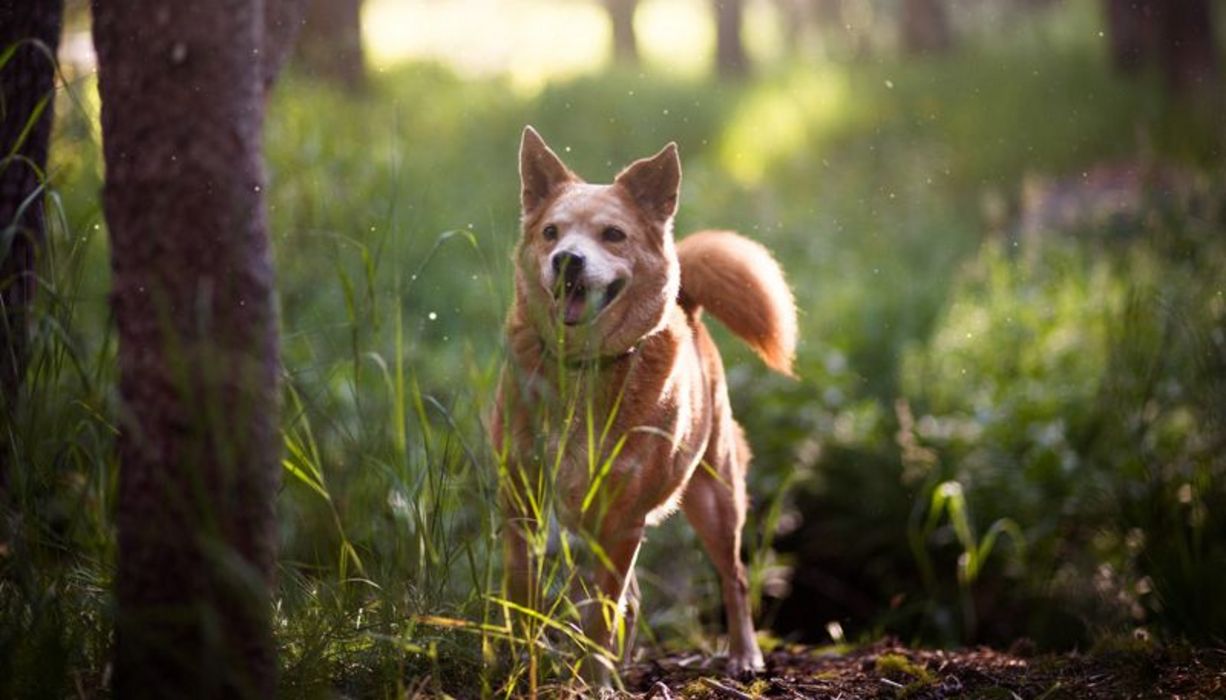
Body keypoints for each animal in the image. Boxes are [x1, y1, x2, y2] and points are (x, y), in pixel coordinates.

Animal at [492, 124, 799, 681]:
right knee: (632, 598)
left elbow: (602, 613)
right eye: (551, 232)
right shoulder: (522, 497)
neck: (584, 369)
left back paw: (743, 655)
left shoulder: (622, 518)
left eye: (613, 234)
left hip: (715, 499)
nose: (567, 259)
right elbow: (523, 589)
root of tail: (688, 305)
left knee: (734, 577)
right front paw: (522, 662)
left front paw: (594, 679)